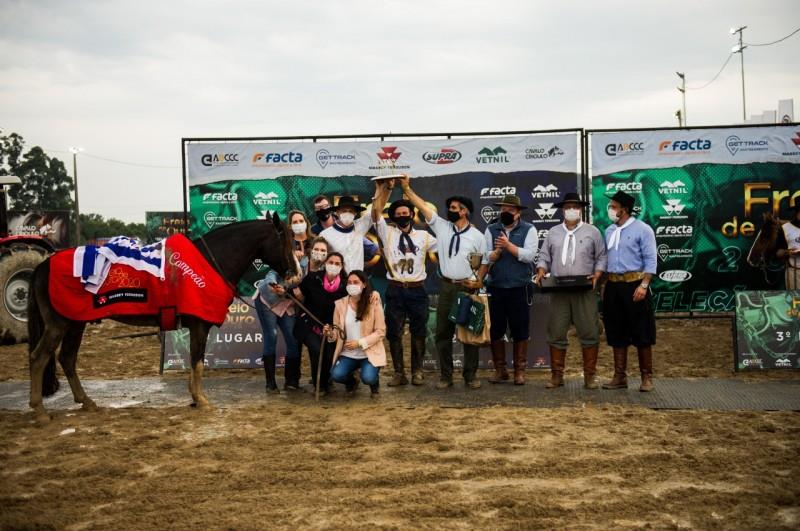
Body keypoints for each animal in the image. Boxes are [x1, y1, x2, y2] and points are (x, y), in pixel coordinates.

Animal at [28, 213, 298, 424]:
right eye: (285, 239)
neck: (208, 261)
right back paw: (39, 411)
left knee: (67, 359)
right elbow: (198, 362)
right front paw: (201, 399)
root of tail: (43, 266)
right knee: (39, 358)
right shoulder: (199, 325)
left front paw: (194, 397)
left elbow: (194, 361)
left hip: (75, 324)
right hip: (59, 325)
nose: (295, 273)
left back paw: (86, 402)